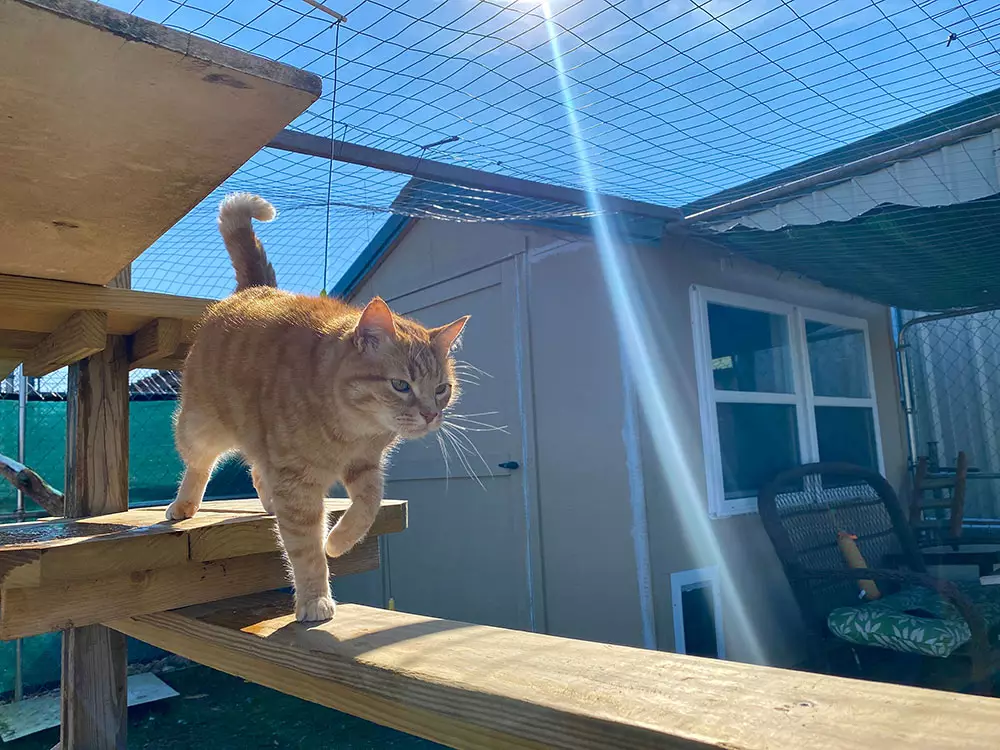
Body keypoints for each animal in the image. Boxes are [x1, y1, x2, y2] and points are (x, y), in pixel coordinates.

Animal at [169, 194, 468, 624]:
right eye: (401, 385)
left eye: (442, 389)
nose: (430, 414)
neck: (352, 428)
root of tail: (257, 288)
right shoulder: (298, 483)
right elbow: (306, 550)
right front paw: (314, 598)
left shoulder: (365, 466)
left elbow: (368, 507)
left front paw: (338, 541)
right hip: (198, 427)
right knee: (199, 466)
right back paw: (183, 506)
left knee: (258, 472)